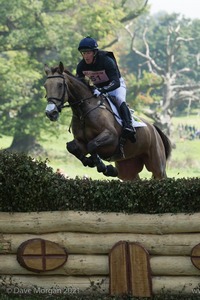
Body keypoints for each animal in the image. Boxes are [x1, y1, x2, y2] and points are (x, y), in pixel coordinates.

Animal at [43, 61, 172, 180]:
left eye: (60, 85)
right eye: (45, 86)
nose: (50, 113)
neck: (84, 112)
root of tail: (154, 128)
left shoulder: (112, 138)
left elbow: (92, 144)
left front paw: (104, 167)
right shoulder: (80, 142)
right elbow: (71, 147)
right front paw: (90, 162)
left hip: (157, 165)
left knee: (160, 175)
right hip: (128, 168)